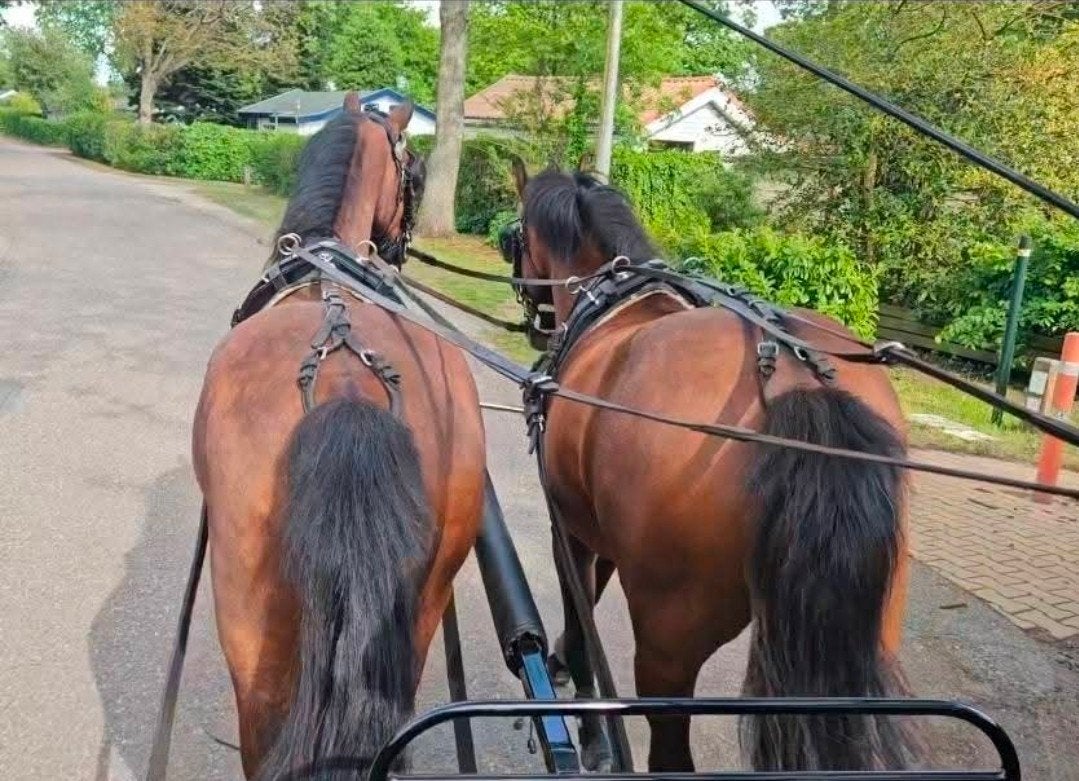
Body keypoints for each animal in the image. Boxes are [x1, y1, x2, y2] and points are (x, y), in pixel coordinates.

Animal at [504, 164, 917, 773]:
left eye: (516, 239)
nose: (536, 324)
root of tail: (797, 384)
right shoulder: (600, 531)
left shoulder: (570, 529)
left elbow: (583, 620)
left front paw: (590, 729)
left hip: (668, 643)